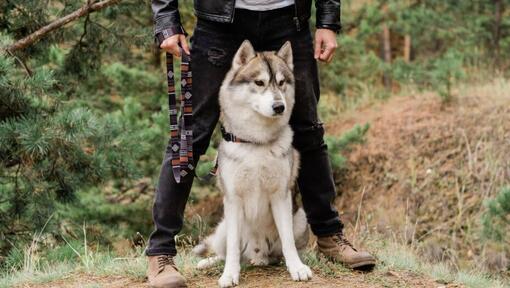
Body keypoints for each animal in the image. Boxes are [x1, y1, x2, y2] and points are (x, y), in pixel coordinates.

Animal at [192, 41, 310, 288]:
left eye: (281, 83)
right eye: (259, 82)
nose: (279, 107)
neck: (256, 143)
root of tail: (255, 254)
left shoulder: (281, 196)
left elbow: (288, 242)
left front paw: (297, 268)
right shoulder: (233, 200)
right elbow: (232, 249)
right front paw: (229, 275)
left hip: (300, 218)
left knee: (276, 253)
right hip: (223, 227)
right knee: (226, 251)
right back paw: (208, 262)